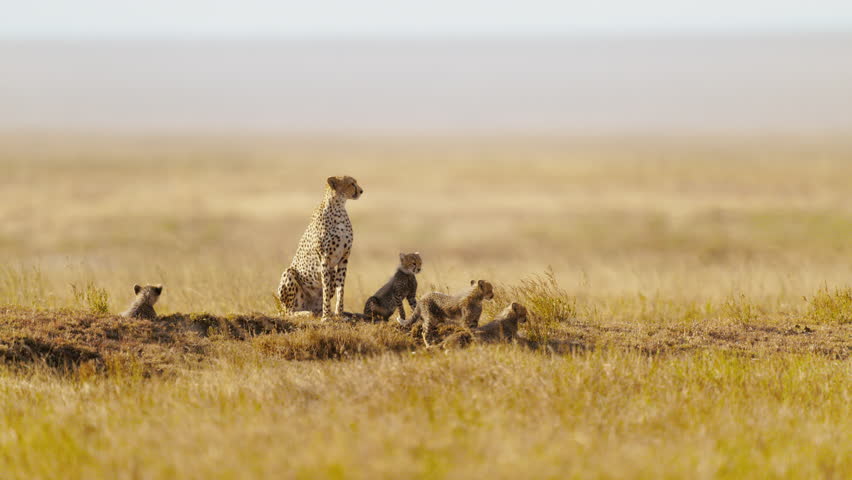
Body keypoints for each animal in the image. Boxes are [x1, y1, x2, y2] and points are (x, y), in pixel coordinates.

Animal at [277, 176, 363, 321]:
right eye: (352, 183)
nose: (361, 191)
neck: (338, 208)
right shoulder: (324, 258)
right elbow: (326, 289)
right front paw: (326, 317)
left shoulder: (344, 258)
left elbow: (340, 289)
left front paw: (339, 315)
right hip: (289, 273)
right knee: (288, 312)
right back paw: (306, 313)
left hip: (331, 273)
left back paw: (318, 312)